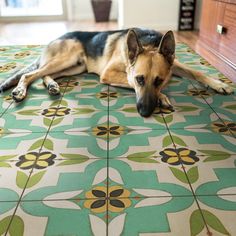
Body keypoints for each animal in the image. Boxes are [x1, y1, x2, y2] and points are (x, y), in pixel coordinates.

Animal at [0, 28, 232, 117]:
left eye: (159, 80)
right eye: (140, 79)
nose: (145, 113)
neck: (147, 43)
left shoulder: (175, 64)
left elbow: (196, 72)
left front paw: (218, 83)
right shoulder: (109, 73)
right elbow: (127, 80)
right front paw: (163, 97)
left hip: (74, 66)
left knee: (43, 75)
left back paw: (52, 86)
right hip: (67, 59)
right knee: (30, 75)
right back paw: (19, 91)